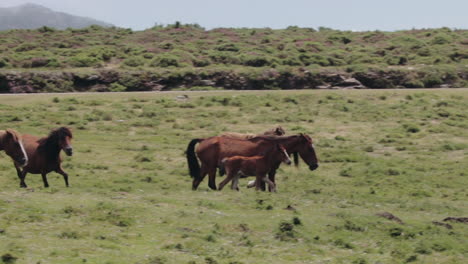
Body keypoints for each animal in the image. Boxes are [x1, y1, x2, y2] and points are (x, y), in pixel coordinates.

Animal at [186, 133, 318, 191]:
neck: (272, 147)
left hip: (205, 166)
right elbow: (264, 186)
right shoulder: (267, 171)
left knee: (196, 182)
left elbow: (269, 184)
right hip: (211, 167)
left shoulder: (269, 172)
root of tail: (202, 140)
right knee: (211, 184)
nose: (315, 165)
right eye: (310, 148)